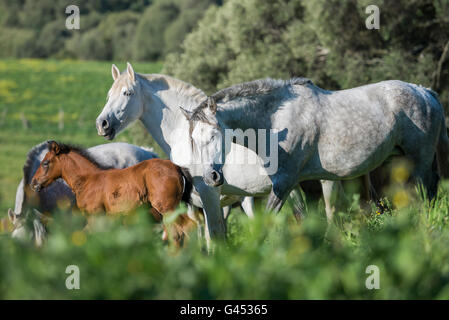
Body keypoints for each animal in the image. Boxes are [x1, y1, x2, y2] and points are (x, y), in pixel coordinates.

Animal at [182, 78, 448, 218]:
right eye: (192, 139)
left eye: (214, 134)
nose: (211, 177)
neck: (275, 120)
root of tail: (425, 92)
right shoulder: (295, 185)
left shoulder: (284, 183)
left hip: (419, 161)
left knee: (427, 190)